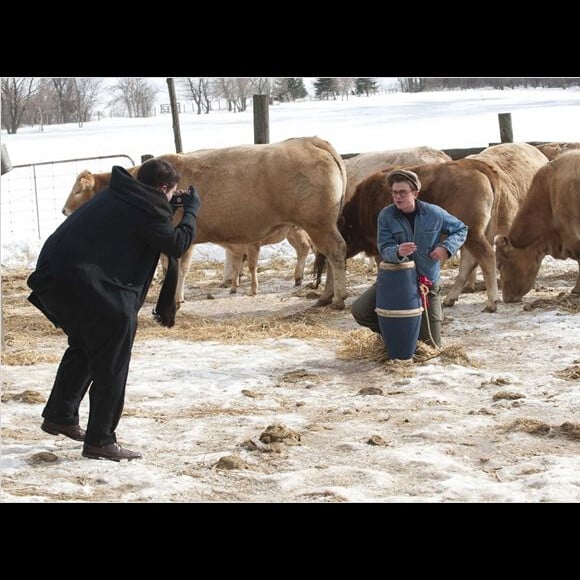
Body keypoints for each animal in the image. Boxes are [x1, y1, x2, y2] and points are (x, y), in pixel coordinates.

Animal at [62, 137, 348, 308]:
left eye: (77, 191)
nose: (64, 210)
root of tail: (310, 141)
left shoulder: (180, 238)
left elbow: (179, 269)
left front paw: (176, 299)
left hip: (318, 224)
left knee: (335, 253)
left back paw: (337, 298)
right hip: (322, 225)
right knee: (329, 256)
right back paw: (326, 296)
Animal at [330, 142, 548, 310]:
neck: (365, 202)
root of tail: (477, 166)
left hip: (473, 233)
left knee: (486, 256)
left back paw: (491, 302)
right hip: (470, 234)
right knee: (469, 262)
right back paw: (450, 298)